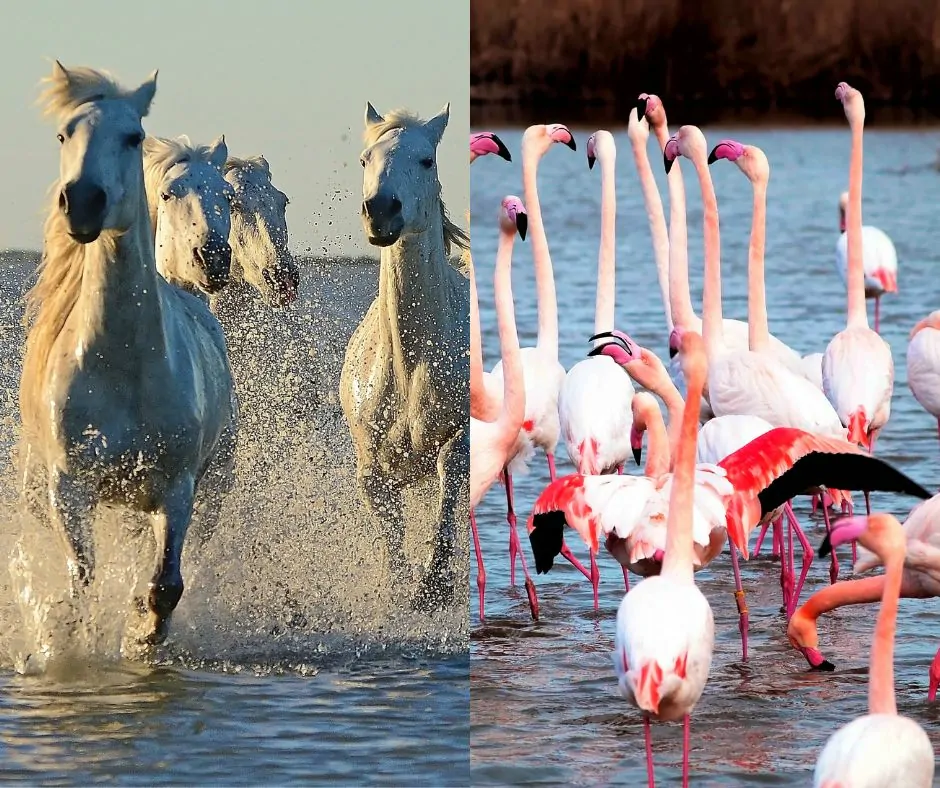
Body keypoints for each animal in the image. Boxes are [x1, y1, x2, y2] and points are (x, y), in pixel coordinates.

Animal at [20, 63, 237, 648]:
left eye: (132, 136)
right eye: (64, 134)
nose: (83, 202)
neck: (121, 365)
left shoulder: (177, 489)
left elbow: (165, 586)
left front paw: (142, 633)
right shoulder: (69, 489)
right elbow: (82, 582)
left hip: (206, 492)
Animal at [340, 101, 468, 612]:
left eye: (426, 160)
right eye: (364, 159)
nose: (381, 210)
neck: (411, 367)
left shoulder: (462, 438)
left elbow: (451, 474)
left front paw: (434, 583)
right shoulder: (372, 469)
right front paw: (405, 587)